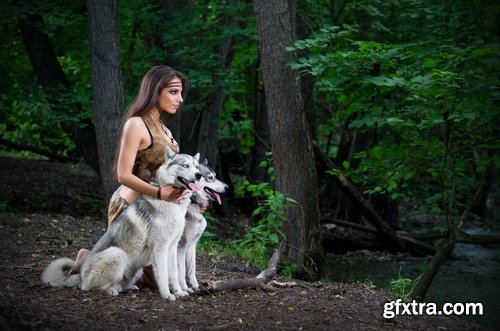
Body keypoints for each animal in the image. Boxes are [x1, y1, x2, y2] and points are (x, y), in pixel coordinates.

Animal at [41, 148, 201, 300]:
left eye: (196, 166)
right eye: (185, 165)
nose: (199, 175)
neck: (173, 203)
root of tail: (80, 276)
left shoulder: (172, 247)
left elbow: (174, 274)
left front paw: (179, 292)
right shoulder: (160, 248)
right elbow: (163, 275)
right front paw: (167, 295)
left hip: (137, 270)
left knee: (119, 284)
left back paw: (127, 288)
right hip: (117, 254)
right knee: (88, 287)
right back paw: (109, 290)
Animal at [178, 160, 229, 294]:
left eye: (215, 176)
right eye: (211, 177)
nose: (227, 187)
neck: (193, 202)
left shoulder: (192, 244)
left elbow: (191, 268)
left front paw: (195, 285)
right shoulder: (181, 245)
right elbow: (181, 270)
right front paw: (184, 288)